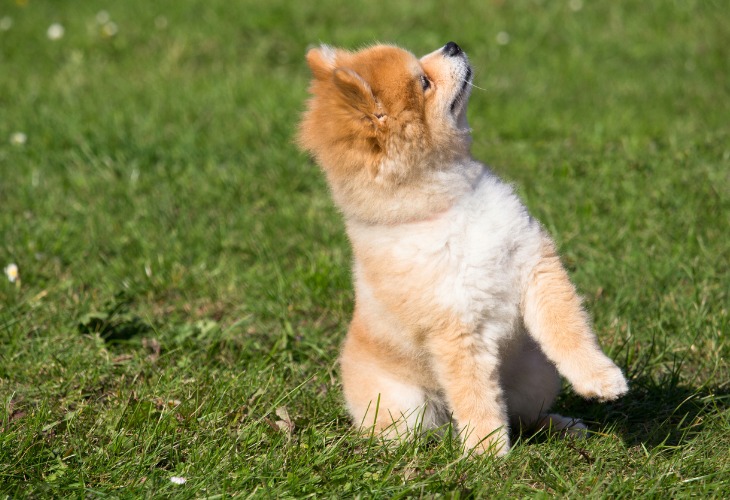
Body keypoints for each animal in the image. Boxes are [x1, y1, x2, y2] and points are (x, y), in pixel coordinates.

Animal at [296, 42, 624, 458]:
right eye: (424, 81)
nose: (452, 45)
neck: (449, 203)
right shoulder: (455, 329)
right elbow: (475, 395)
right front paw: (487, 454)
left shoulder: (535, 265)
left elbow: (568, 330)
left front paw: (601, 378)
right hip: (402, 406)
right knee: (427, 426)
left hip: (538, 374)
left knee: (523, 416)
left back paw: (561, 426)